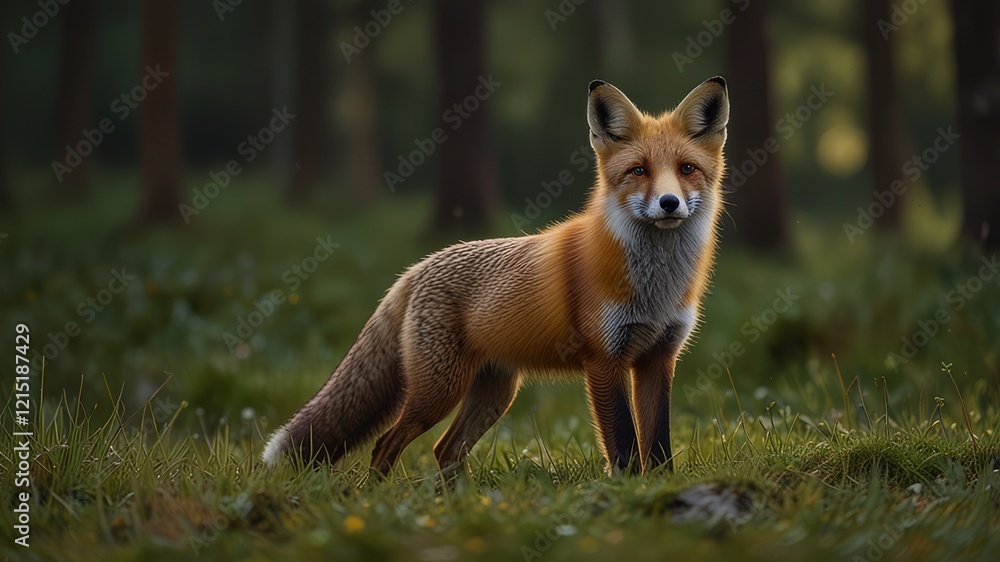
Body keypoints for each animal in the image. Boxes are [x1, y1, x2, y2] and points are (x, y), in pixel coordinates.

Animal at [263, 77, 730, 476]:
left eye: (687, 169)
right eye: (639, 171)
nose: (669, 203)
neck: (656, 287)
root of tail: (417, 267)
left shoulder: (658, 358)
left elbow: (659, 447)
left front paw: (662, 488)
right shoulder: (604, 360)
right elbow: (625, 447)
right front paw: (628, 491)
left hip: (495, 394)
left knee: (445, 450)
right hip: (439, 391)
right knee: (386, 446)